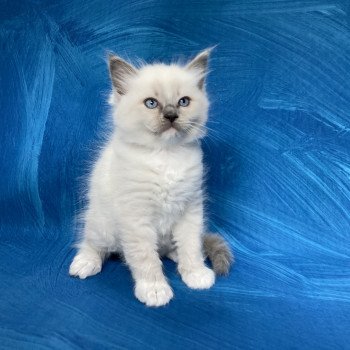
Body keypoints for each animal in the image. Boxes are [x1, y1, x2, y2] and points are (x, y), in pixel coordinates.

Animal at [68, 49, 232, 306]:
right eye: (151, 103)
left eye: (183, 102)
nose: (171, 115)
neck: (166, 156)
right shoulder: (137, 218)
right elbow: (146, 259)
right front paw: (155, 291)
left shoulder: (190, 209)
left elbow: (191, 246)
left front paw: (195, 274)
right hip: (102, 226)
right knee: (93, 244)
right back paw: (85, 263)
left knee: (169, 248)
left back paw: (176, 256)